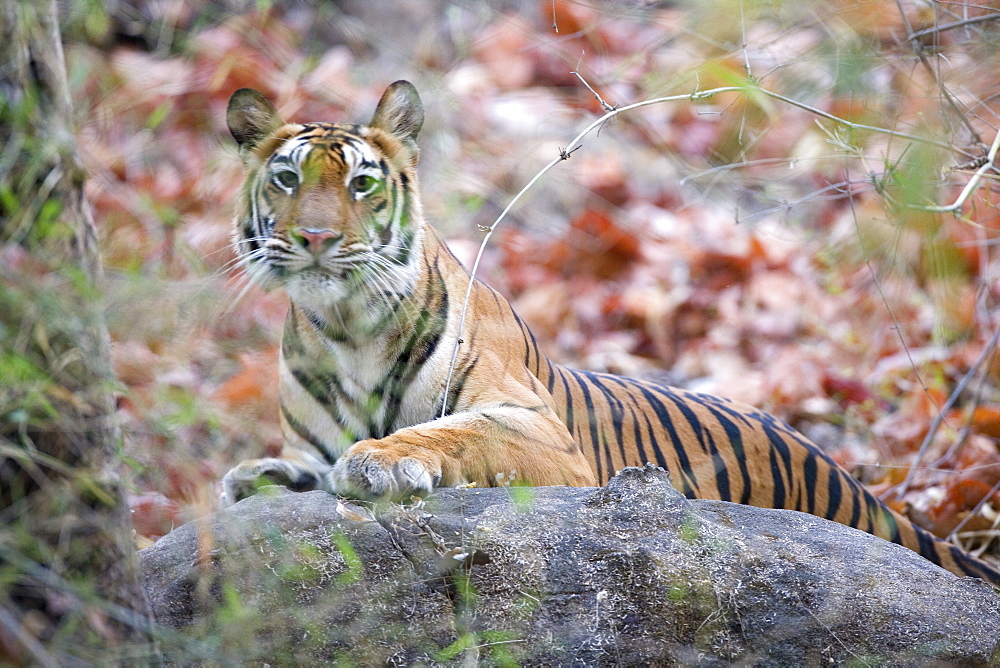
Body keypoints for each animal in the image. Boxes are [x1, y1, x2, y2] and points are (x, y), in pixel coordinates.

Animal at [223, 81, 1000, 588]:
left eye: (362, 184)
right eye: (287, 179)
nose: (315, 238)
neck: (345, 328)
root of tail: (850, 478)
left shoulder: (539, 431)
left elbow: (454, 433)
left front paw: (380, 459)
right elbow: (290, 469)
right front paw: (257, 477)